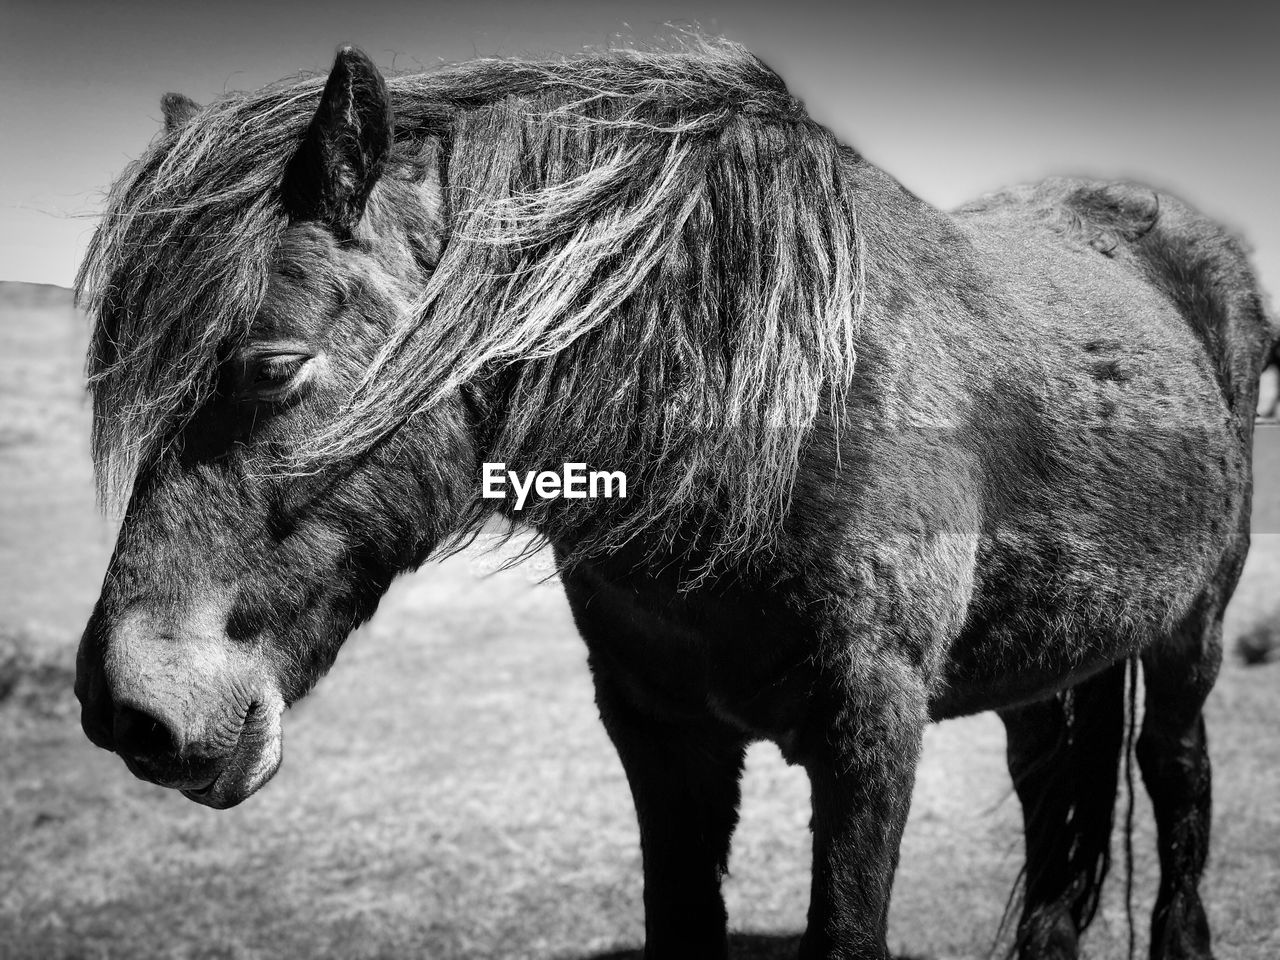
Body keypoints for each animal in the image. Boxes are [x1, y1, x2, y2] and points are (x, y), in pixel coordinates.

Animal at [74, 39, 1274, 960]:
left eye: (273, 364)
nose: (129, 709)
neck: (775, 408)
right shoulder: (656, 729)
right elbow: (683, 920)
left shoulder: (871, 722)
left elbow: (847, 930)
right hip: (1045, 662)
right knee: (1049, 800)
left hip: (1188, 636)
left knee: (1176, 783)